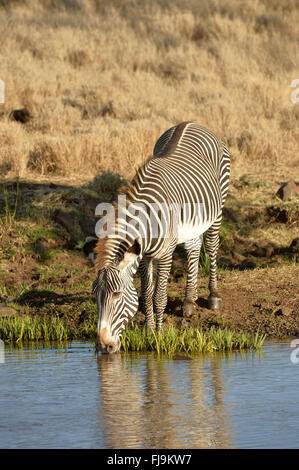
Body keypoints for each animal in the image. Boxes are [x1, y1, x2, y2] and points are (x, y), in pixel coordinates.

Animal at [92, 121, 231, 352]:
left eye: (117, 294)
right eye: (95, 296)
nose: (105, 345)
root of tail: (191, 122)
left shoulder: (166, 254)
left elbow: (159, 297)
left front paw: (159, 334)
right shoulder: (143, 256)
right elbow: (146, 295)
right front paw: (149, 332)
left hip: (218, 209)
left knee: (211, 246)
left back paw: (213, 296)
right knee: (194, 247)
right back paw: (189, 301)